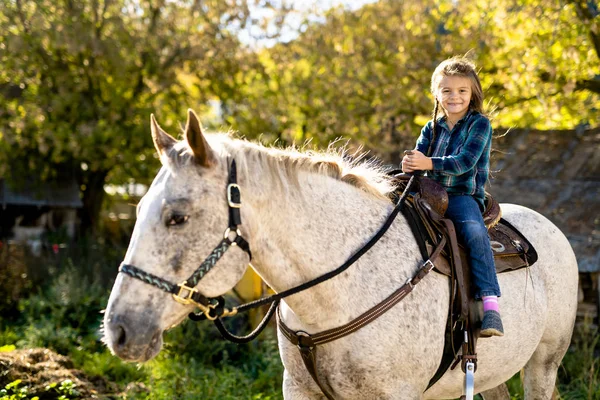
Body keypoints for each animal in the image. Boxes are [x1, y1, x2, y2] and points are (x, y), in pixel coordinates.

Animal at [104, 109, 580, 400]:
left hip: (543, 365)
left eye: (177, 217)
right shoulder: (300, 389)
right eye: (139, 209)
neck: (337, 292)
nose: (119, 330)